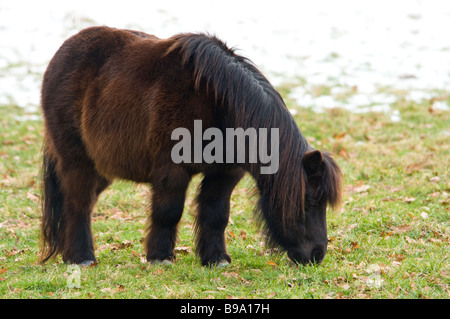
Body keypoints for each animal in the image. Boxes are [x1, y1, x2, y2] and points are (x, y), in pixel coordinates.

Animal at [39, 26, 342, 268]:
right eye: (310, 202)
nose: (317, 255)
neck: (219, 104)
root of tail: (61, 55)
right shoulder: (171, 172)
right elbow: (168, 212)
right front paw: (160, 258)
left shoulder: (224, 175)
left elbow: (216, 214)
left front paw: (216, 259)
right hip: (76, 161)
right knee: (78, 203)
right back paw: (82, 258)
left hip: (102, 167)